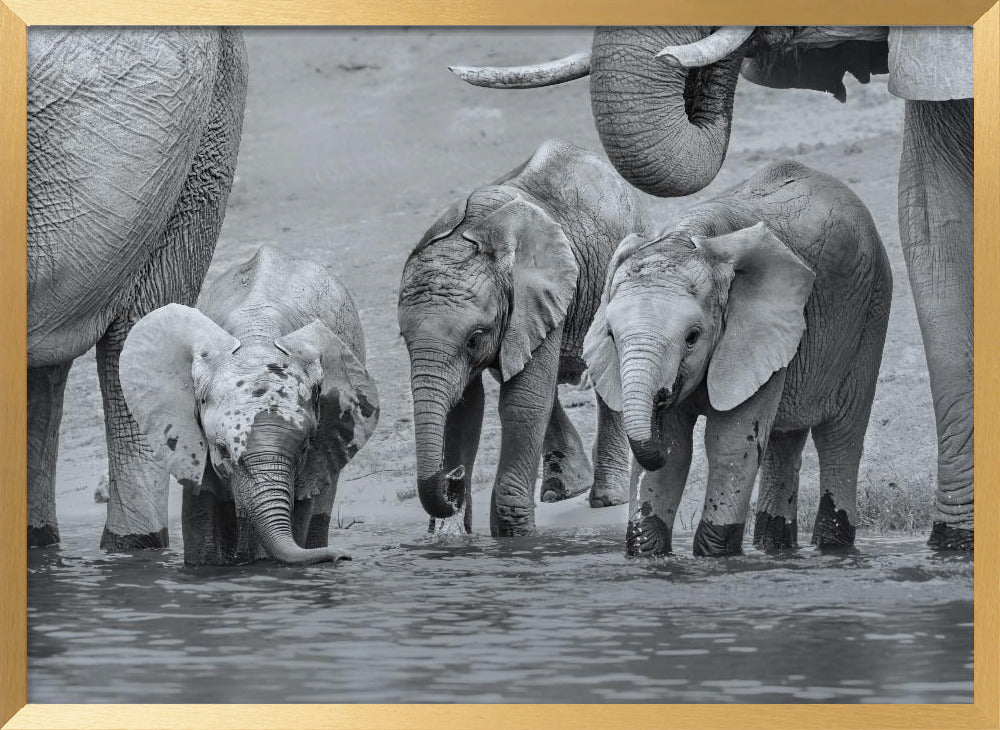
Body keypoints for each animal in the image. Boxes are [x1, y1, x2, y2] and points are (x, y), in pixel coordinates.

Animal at [397, 139, 648, 537]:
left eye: (474, 339)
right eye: (403, 338)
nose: (453, 479)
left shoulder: (539, 295)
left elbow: (522, 403)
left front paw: (514, 537)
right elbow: (466, 407)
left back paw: (607, 498)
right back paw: (562, 490)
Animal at [583, 160, 892, 557]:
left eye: (692, 337)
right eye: (610, 336)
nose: (661, 397)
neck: (688, 239)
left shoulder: (755, 330)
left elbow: (729, 443)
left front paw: (716, 556)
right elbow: (676, 450)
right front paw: (649, 553)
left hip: (871, 310)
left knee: (840, 436)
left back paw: (832, 549)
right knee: (783, 441)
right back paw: (775, 549)